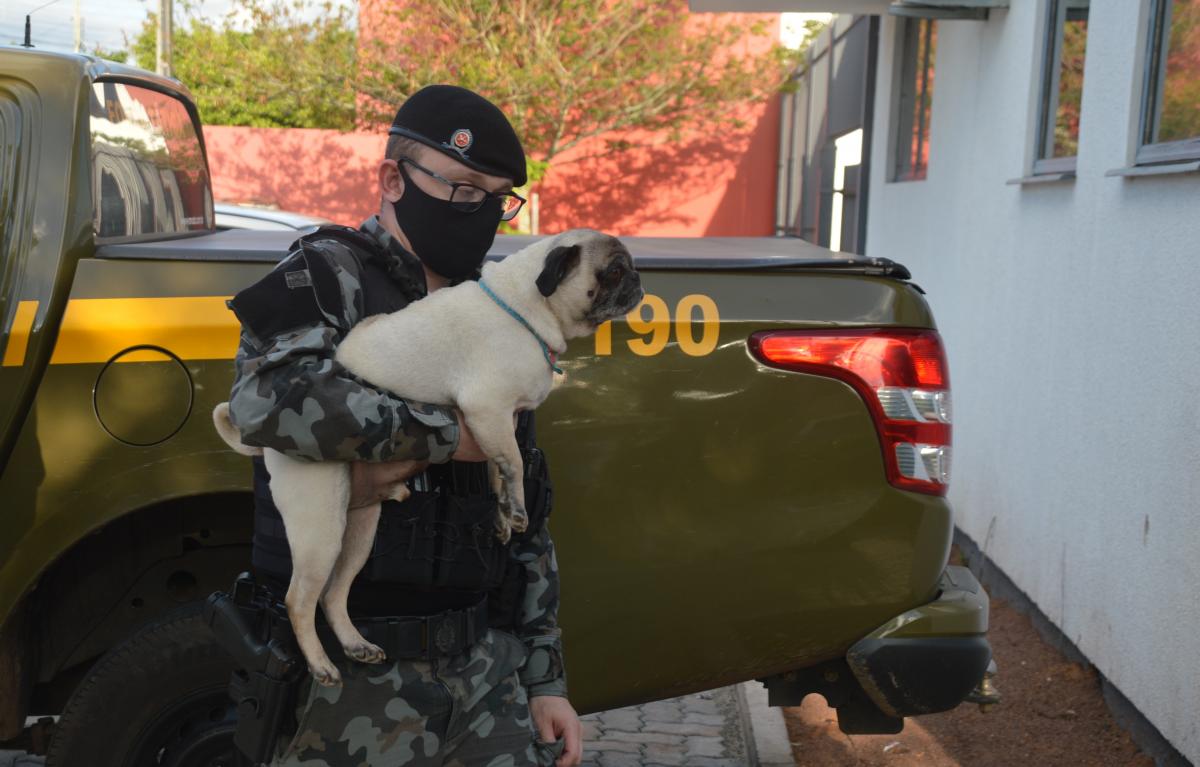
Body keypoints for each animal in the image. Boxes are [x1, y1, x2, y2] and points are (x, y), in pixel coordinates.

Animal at [216, 226, 648, 681]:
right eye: (614, 271)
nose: (638, 279)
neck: (526, 305)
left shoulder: (497, 424)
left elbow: (497, 472)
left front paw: (501, 515)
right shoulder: (487, 410)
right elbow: (513, 464)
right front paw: (516, 511)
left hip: (360, 530)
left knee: (334, 595)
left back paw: (355, 644)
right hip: (321, 525)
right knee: (300, 599)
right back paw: (321, 665)